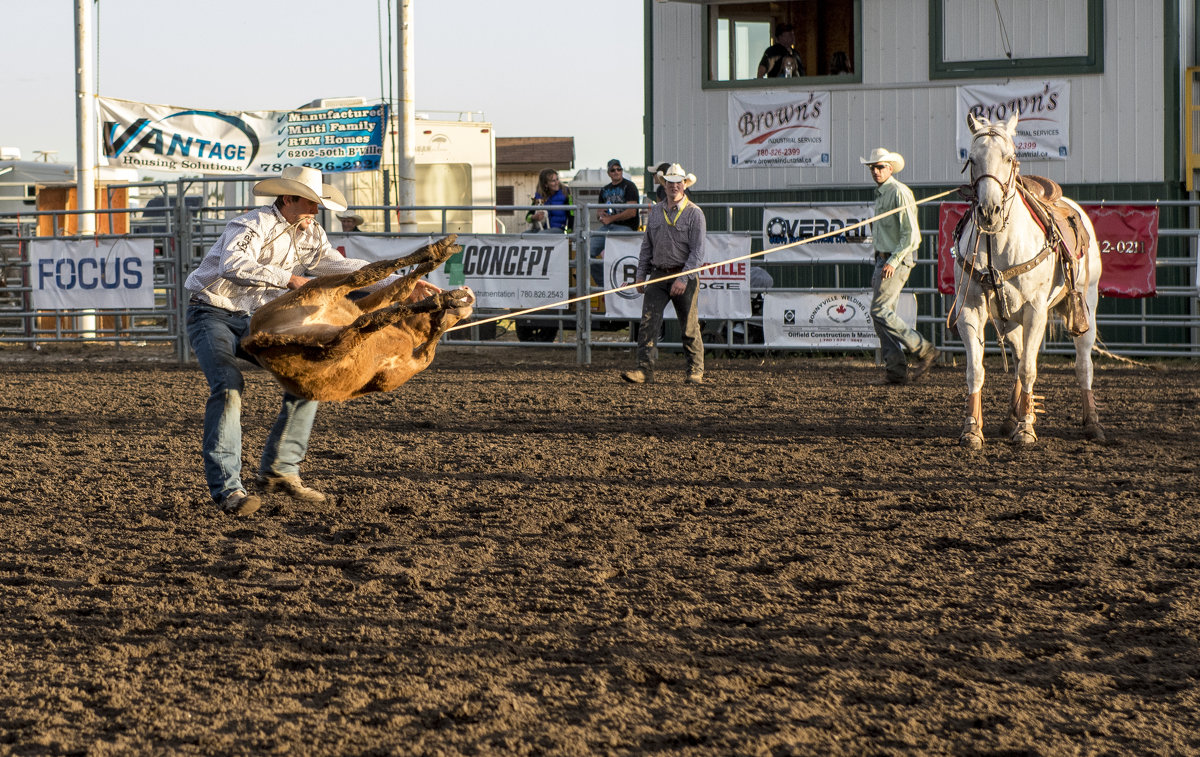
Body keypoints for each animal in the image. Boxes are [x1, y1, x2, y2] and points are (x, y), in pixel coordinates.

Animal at [950, 112, 1099, 451]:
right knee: (1017, 359)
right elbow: (975, 371)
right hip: (1009, 320)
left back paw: (1092, 424)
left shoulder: (1035, 311)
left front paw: (1027, 430)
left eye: (1009, 157)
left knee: (1082, 364)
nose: (988, 211)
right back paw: (1011, 417)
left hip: (1086, 303)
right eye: (972, 159)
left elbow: (1030, 369)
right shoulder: (970, 310)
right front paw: (972, 429)